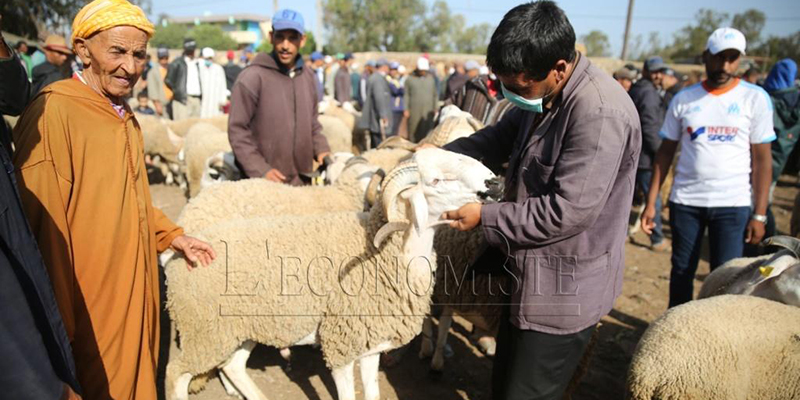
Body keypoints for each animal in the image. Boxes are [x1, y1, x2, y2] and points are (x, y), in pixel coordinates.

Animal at [162, 149, 500, 400]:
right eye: (437, 180)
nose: (494, 183)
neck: (384, 251)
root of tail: (179, 257)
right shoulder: (341, 342)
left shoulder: (370, 343)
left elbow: (372, 394)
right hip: (204, 331)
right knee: (176, 373)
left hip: (236, 329)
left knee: (232, 366)